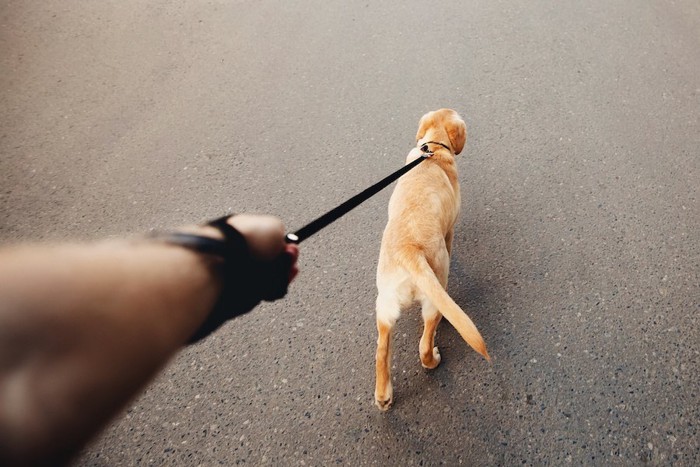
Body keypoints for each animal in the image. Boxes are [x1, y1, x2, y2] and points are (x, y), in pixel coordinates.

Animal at [374, 108, 490, 412]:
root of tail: (409, 251)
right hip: (434, 296)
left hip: (384, 307)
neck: (433, 150)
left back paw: (383, 396)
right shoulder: (450, 230)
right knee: (424, 345)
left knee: (381, 351)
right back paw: (434, 359)